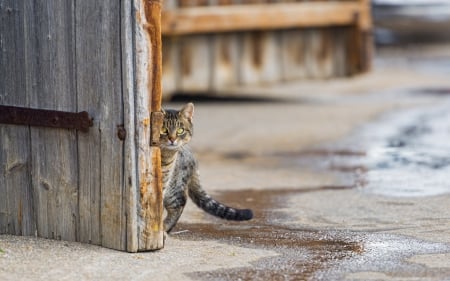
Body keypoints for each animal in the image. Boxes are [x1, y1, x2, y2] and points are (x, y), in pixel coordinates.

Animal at [160, 103, 253, 232]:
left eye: (180, 130)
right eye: (163, 130)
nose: (172, 139)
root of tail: (191, 153)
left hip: (174, 187)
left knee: (179, 204)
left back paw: (164, 228)